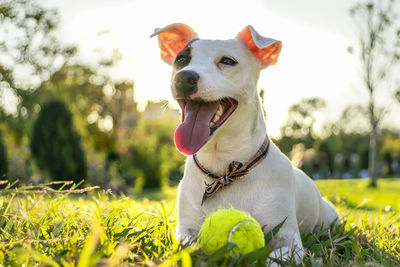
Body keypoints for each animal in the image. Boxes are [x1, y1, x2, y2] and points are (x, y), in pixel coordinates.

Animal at [152, 23, 340, 266]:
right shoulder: (185, 228)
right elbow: (186, 244)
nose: (184, 78)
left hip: (330, 220)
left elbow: (276, 258)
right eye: (182, 59)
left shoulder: (289, 238)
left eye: (227, 61)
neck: (225, 169)